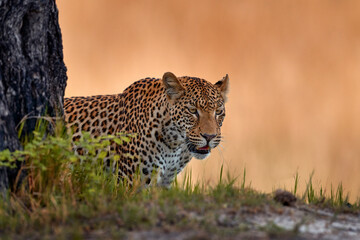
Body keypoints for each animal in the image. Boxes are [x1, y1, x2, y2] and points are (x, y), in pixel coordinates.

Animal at [63, 71, 229, 188]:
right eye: (192, 110)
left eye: (218, 112)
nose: (209, 136)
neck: (174, 144)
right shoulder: (130, 182)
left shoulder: (164, 182)